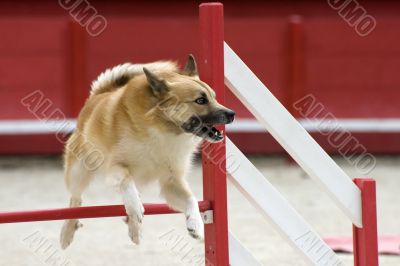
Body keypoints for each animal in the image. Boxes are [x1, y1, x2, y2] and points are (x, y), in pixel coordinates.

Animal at [59, 54, 234, 249]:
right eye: (201, 100)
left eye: (214, 97)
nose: (232, 114)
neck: (162, 128)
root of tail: (97, 95)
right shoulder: (115, 167)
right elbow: (126, 181)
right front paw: (135, 207)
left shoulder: (171, 182)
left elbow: (192, 199)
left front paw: (196, 224)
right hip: (78, 171)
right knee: (75, 200)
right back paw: (67, 232)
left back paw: (135, 229)